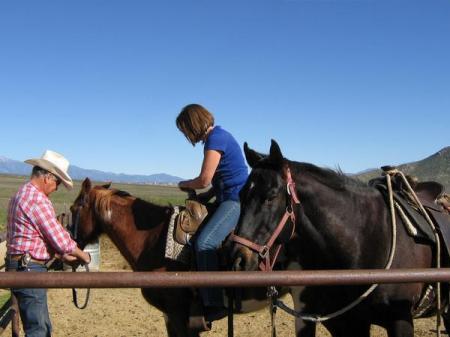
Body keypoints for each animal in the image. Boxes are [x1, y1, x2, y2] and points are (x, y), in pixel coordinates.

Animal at [232, 139, 450, 336]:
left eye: (270, 196)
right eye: (241, 195)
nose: (237, 259)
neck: (364, 240)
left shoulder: (400, 321)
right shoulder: (349, 323)